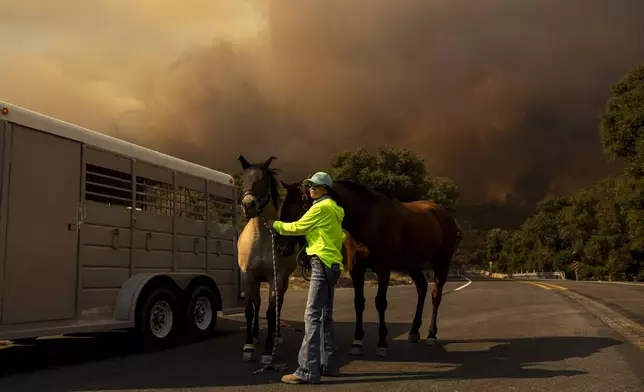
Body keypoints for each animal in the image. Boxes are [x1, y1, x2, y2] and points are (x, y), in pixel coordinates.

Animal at [236, 155, 310, 362]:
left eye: (263, 179)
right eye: (243, 178)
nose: (248, 205)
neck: (261, 239)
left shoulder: (275, 278)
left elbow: (270, 312)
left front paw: (268, 351)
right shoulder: (248, 276)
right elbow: (250, 309)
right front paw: (248, 346)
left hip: (283, 281)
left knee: (278, 305)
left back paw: (277, 337)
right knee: (256, 304)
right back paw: (255, 336)